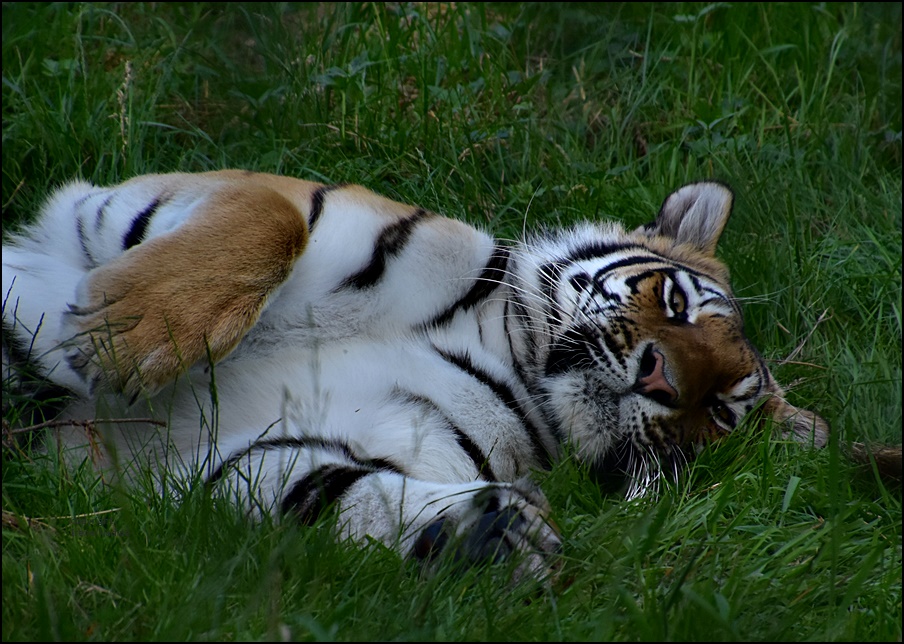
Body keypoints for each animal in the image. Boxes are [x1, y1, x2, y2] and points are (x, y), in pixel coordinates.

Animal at [0, 170, 828, 580]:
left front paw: (490, 536)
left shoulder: (239, 453)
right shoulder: (283, 200)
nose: (663, 380)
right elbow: (269, 220)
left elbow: (333, 491)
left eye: (720, 412)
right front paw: (124, 337)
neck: (512, 352)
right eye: (678, 305)